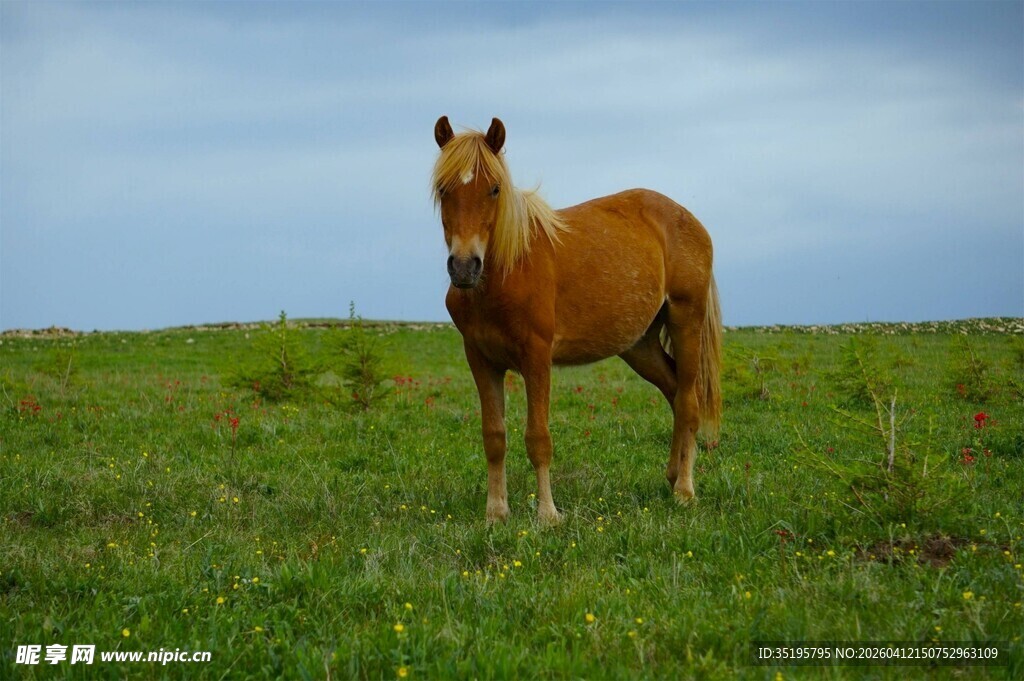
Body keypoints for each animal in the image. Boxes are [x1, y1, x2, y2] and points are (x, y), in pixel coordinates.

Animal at [432, 116, 721, 524]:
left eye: (494, 189)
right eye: (443, 188)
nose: (463, 266)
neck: (507, 272)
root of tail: (691, 221)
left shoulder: (537, 357)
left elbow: (538, 438)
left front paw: (548, 515)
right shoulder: (481, 359)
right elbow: (494, 437)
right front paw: (496, 513)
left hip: (686, 321)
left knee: (689, 401)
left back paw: (684, 489)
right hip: (640, 346)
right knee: (674, 392)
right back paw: (672, 475)